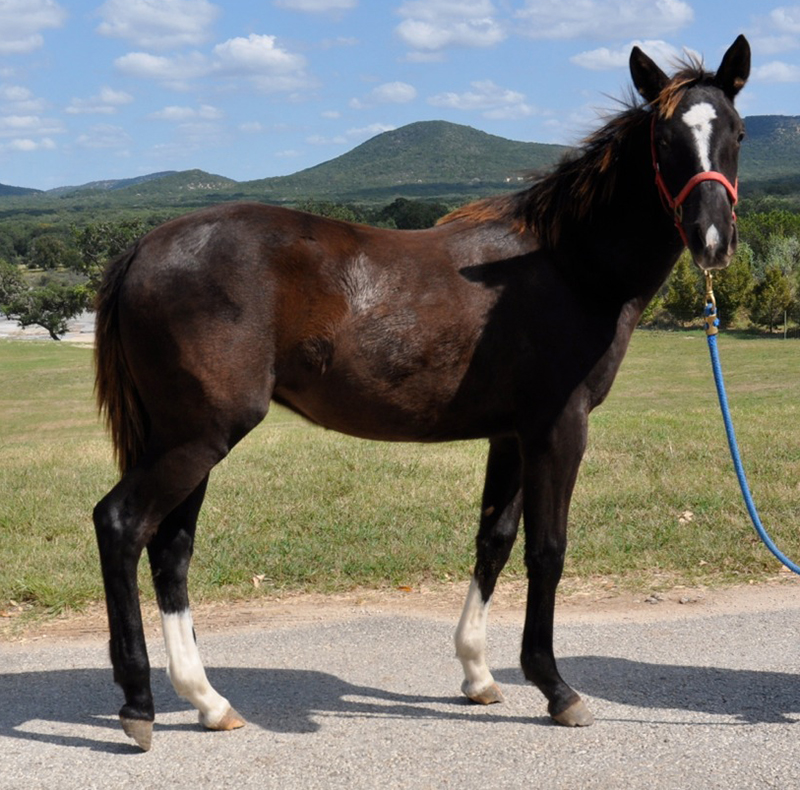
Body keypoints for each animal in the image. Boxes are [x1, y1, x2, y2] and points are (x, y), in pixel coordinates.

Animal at [92, 38, 752, 756]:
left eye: (736, 132)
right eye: (664, 138)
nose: (712, 241)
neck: (567, 264)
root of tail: (143, 248)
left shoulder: (512, 434)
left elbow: (495, 539)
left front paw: (478, 673)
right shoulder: (559, 428)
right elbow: (547, 550)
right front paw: (556, 688)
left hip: (188, 440)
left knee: (170, 550)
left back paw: (208, 701)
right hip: (197, 438)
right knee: (122, 525)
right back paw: (139, 706)